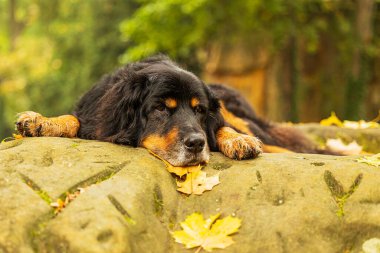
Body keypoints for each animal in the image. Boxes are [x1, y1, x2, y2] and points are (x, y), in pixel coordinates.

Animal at [14, 55, 330, 166]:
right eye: (160, 109)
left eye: (200, 110)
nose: (196, 144)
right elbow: (75, 120)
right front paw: (41, 121)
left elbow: (220, 127)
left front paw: (238, 141)